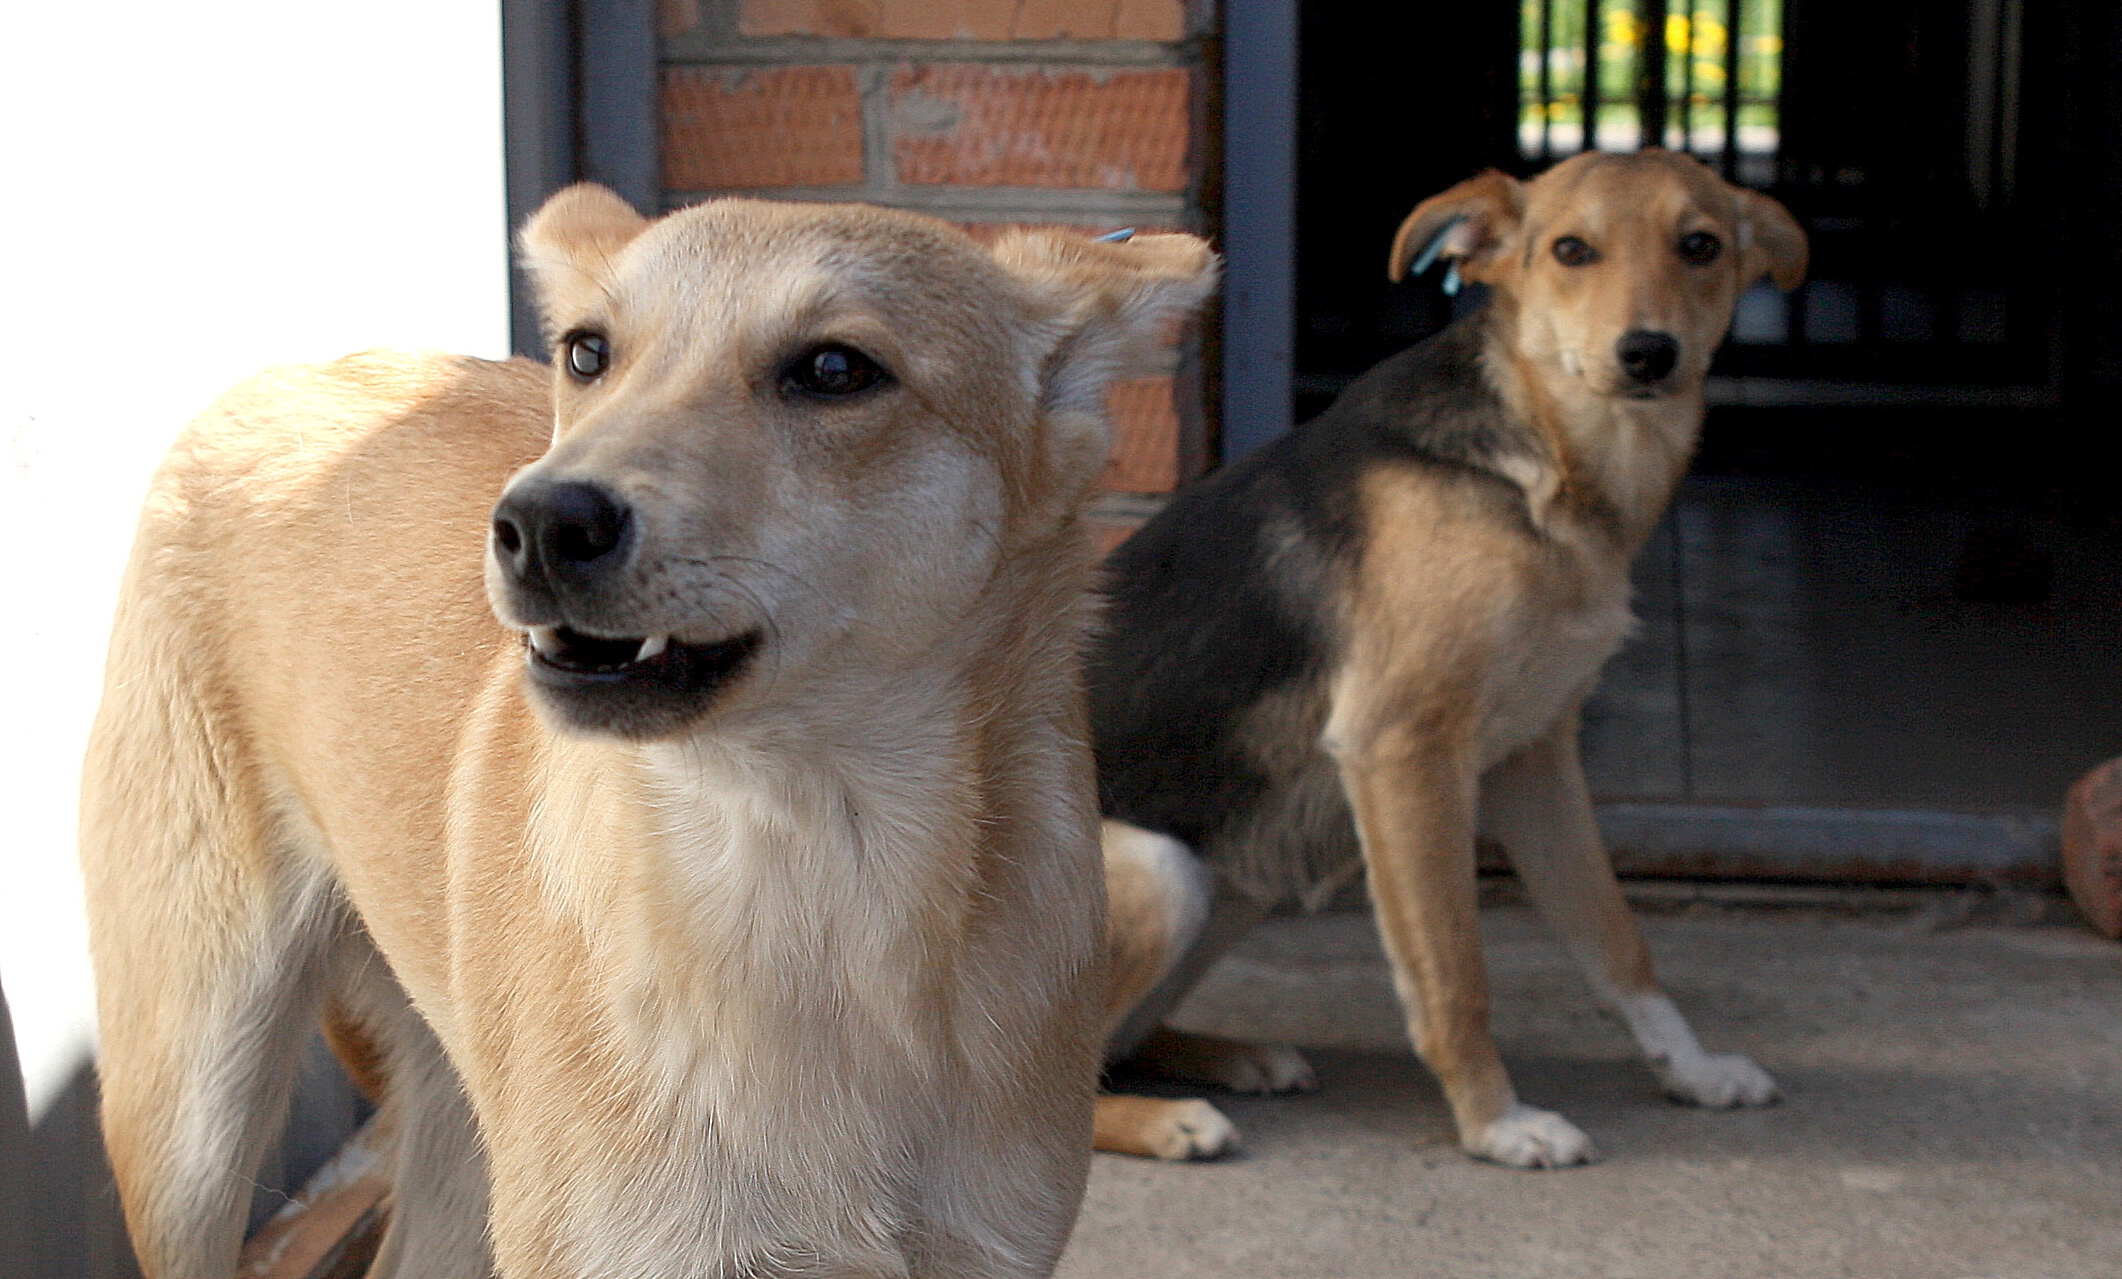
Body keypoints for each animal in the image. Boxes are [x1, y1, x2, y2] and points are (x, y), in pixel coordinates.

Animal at [87, 187, 1213, 1279]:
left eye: (835, 370)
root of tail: (281, 372)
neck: (817, 874)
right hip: (190, 1118)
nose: (541, 523)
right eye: (588, 352)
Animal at [1094, 152, 1807, 1170]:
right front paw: (1497, 1122)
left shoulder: (1537, 761)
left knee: (1118, 1042)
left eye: (1701, 245)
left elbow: (1617, 940)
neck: (1550, 458)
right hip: (1161, 871)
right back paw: (1167, 1119)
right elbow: (1453, 970)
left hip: (1236, 872)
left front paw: (1694, 1070)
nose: (1649, 353)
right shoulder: (1405, 751)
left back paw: (1235, 1056)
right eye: (1571, 250)